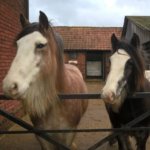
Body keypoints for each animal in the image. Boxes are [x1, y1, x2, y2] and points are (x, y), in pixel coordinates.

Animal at [2, 11, 88, 149]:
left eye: (40, 45)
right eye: (17, 45)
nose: (9, 86)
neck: (57, 103)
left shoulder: (69, 135)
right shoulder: (43, 138)